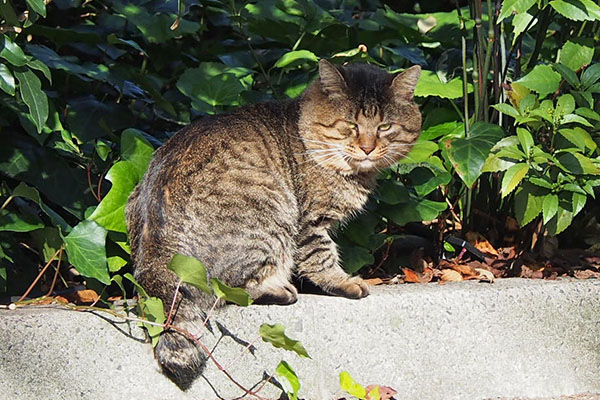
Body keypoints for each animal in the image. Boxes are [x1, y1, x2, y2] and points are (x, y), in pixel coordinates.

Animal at [124, 59, 420, 388]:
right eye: (350, 125)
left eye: (384, 127)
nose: (368, 148)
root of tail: (153, 260)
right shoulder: (310, 222)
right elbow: (321, 257)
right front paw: (343, 281)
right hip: (271, 214)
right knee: (225, 292)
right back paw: (279, 289)